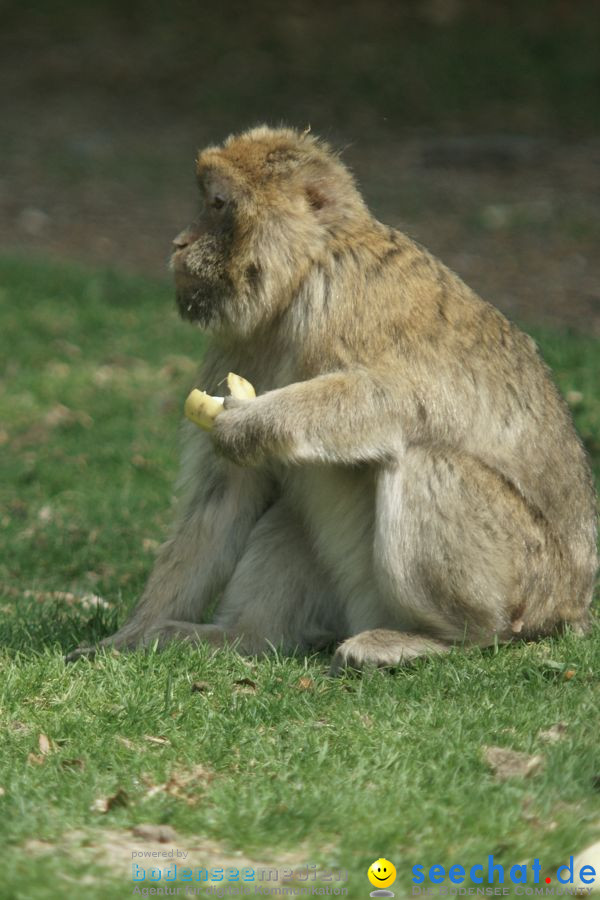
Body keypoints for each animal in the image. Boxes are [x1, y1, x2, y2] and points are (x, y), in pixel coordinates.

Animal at [65, 128, 596, 676]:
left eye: (217, 204)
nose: (179, 243)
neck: (298, 280)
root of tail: (572, 605)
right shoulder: (236, 344)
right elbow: (222, 499)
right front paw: (129, 638)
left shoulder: (344, 298)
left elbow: (404, 396)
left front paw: (253, 423)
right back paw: (235, 639)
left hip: (524, 581)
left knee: (424, 457)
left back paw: (448, 637)